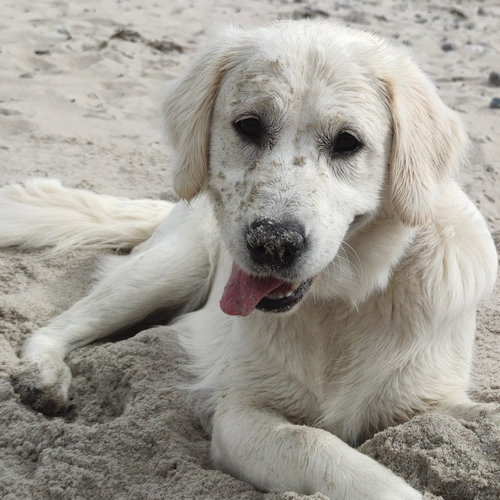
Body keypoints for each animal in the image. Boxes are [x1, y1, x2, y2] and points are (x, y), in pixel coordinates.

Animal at [1, 19, 498, 500]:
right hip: (164, 272)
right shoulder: (239, 416)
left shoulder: (430, 401)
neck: (340, 305)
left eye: (347, 142)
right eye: (249, 126)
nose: (273, 242)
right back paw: (43, 377)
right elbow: (317, 443)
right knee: (57, 326)